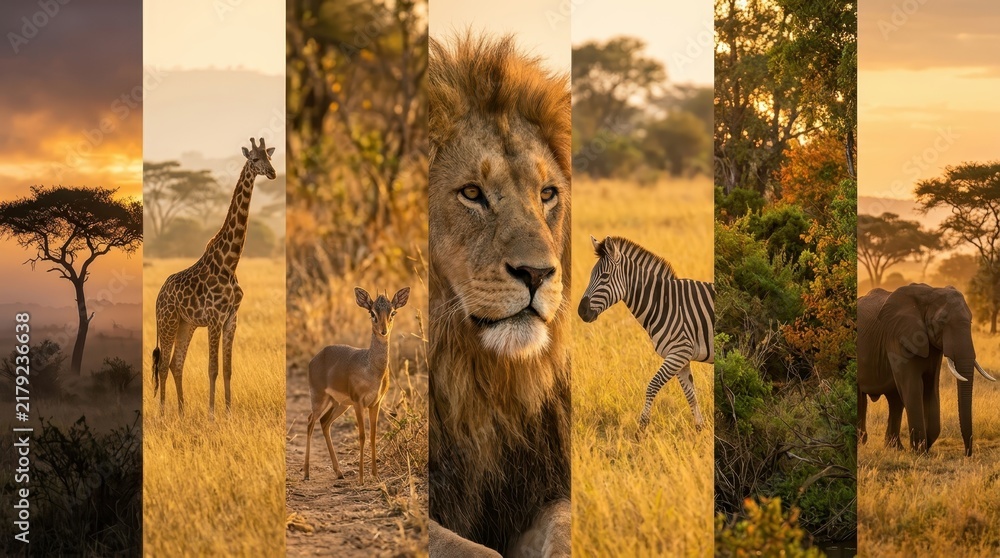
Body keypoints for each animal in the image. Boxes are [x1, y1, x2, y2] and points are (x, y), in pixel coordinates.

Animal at [578, 235, 714, 432]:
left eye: (604, 276)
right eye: (590, 276)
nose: (581, 312)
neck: (664, 303)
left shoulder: (678, 352)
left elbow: (652, 386)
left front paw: (641, 427)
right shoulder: (682, 357)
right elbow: (690, 393)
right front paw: (699, 428)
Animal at [858, 284, 996, 457]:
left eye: (971, 321)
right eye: (941, 322)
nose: (967, 453)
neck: (930, 293)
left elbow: (931, 388)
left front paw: (923, 446)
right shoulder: (898, 338)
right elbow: (913, 387)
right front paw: (919, 451)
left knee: (894, 400)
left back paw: (894, 448)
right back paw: (862, 443)